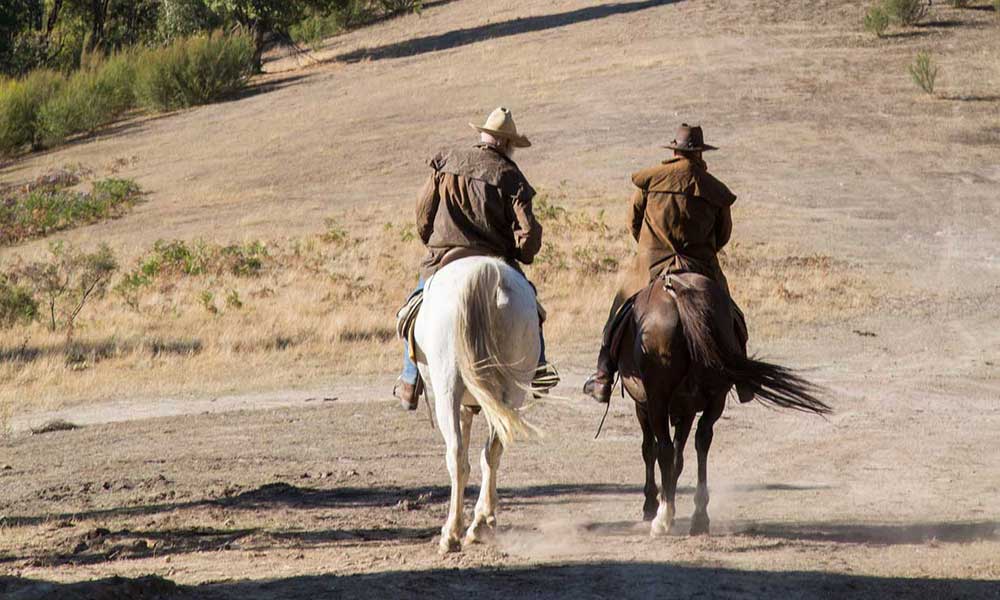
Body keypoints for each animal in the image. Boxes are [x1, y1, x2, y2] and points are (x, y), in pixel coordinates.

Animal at [412, 255, 544, 556]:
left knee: (457, 456)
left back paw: (451, 533)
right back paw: (482, 523)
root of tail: (488, 272)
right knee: (493, 451)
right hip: (512, 392)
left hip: (447, 389)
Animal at [616, 270, 828, 536]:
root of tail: (677, 292)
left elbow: (650, 449)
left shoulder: (644, 406)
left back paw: (662, 518)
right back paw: (699, 516)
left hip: (658, 400)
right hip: (715, 397)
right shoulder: (685, 409)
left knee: (664, 448)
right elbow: (678, 456)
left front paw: (651, 504)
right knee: (702, 440)